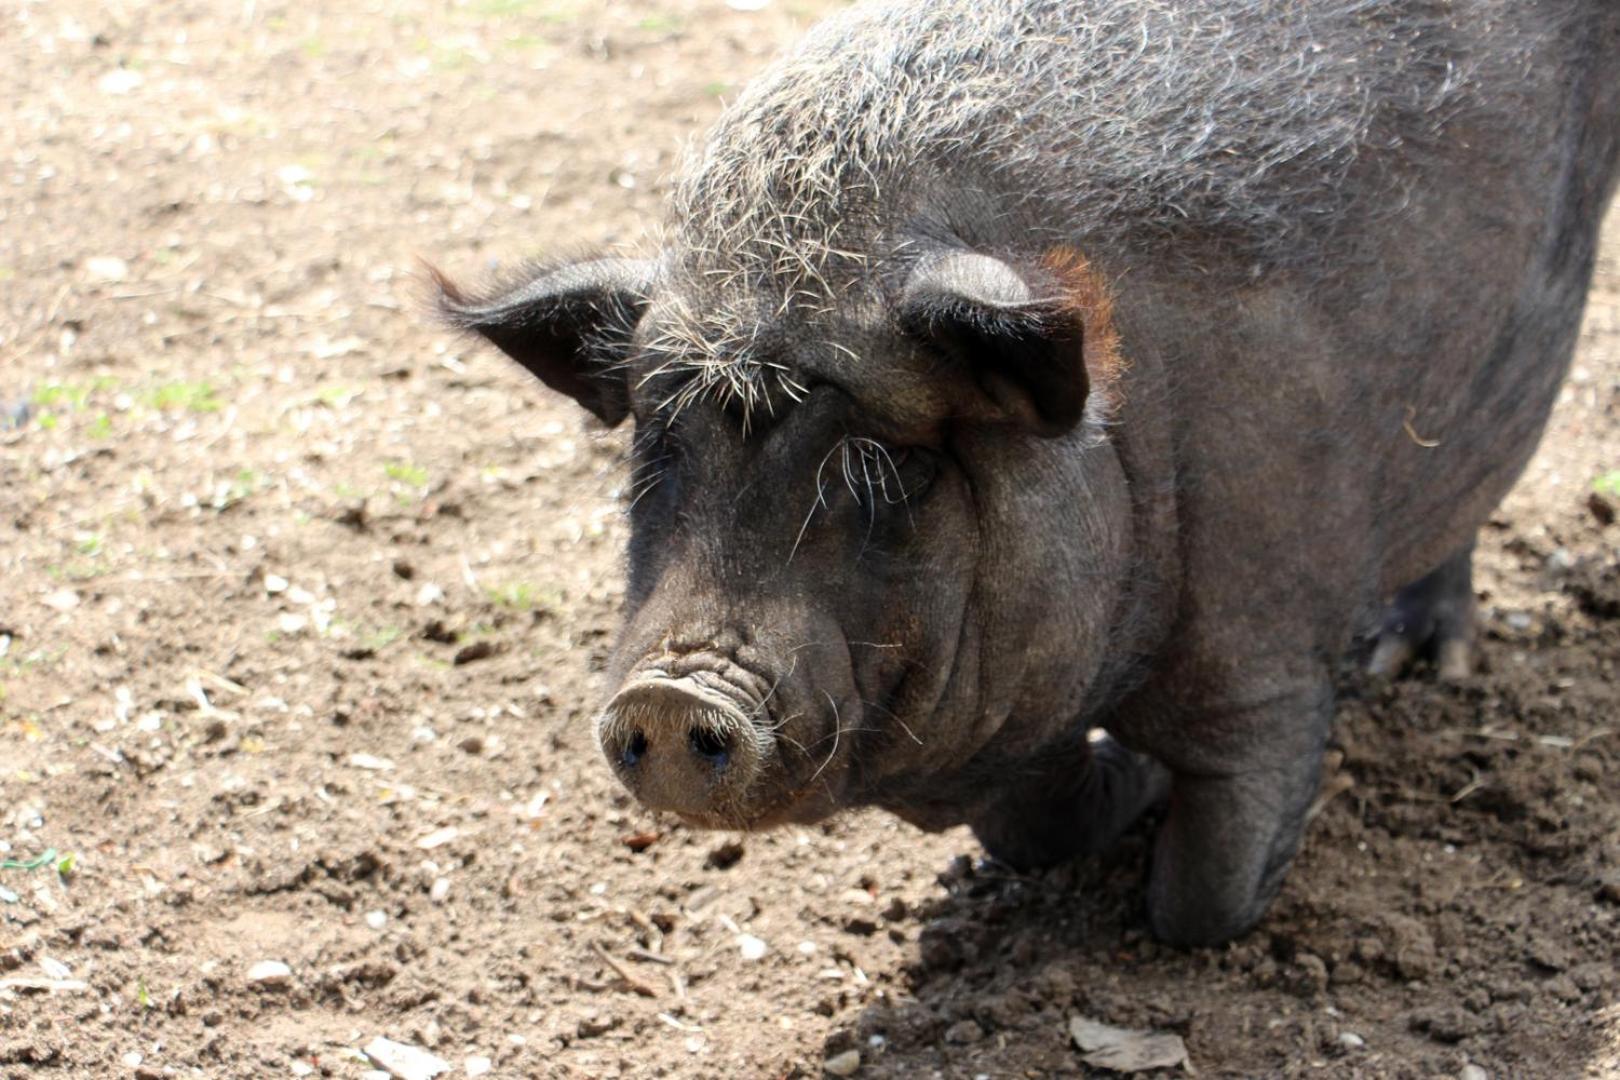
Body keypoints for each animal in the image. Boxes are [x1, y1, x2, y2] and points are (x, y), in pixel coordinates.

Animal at [430, 0, 1620, 945]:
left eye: (892, 467)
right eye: (656, 448)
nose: (672, 695)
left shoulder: (1266, 650)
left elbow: (1204, 898)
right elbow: (1028, 830)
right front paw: (1115, 787)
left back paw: (1415, 667)